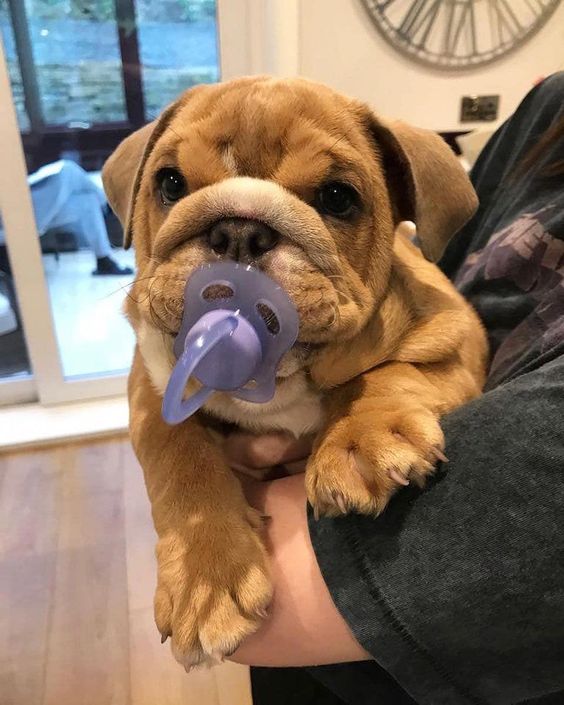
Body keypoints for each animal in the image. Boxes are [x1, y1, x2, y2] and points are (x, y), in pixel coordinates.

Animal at [102, 75, 490, 664]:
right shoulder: (151, 384)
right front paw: (205, 574)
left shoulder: (455, 338)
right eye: (170, 183)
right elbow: (178, 454)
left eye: (337, 197)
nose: (239, 230)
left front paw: (361, 436)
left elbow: (388, 373)